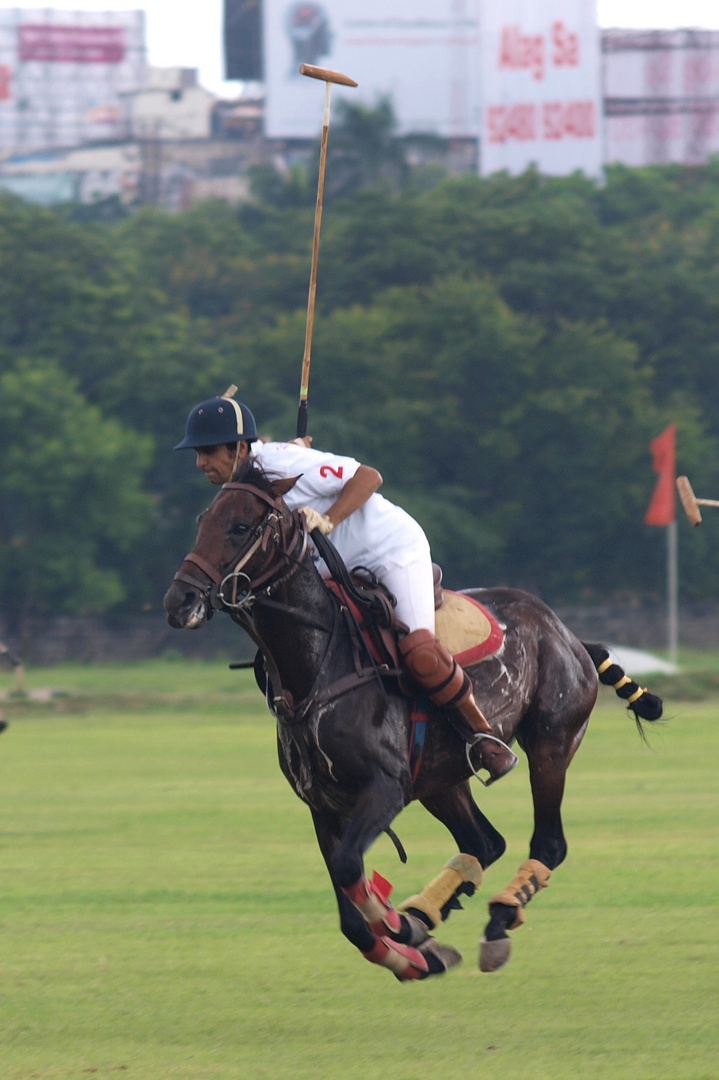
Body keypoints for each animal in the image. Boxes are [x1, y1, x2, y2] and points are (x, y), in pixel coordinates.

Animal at [164, 460, 660, 984]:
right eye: (202, 520)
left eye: (240, 527)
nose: (179, 601)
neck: (317, 666)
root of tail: (567, 633)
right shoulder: (323, 804)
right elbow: (350, 914)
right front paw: (413, 952)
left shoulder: (385, 787)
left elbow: (350, 873)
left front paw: (398, 927)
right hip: (440, 778)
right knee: (484, 841)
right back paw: (427, 916)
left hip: (552, 741)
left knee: (548, 842)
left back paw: (494, 921)